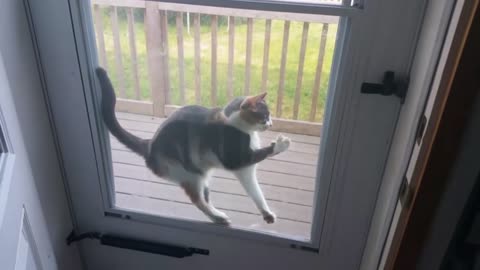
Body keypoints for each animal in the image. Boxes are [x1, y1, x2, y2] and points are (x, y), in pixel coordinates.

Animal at [94, 67, 288, 224]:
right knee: (198, 200)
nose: (271, 124)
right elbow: (264, 153)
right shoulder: (237, 160)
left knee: (205, 197)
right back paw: (218, 218)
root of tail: (150, 146)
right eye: (265, 117)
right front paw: (281, 144)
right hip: (190, 174)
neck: (238, 126)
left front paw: (267, 213)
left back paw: (218, 214)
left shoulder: (245, 171)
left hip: (202, 174)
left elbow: (256, 192)